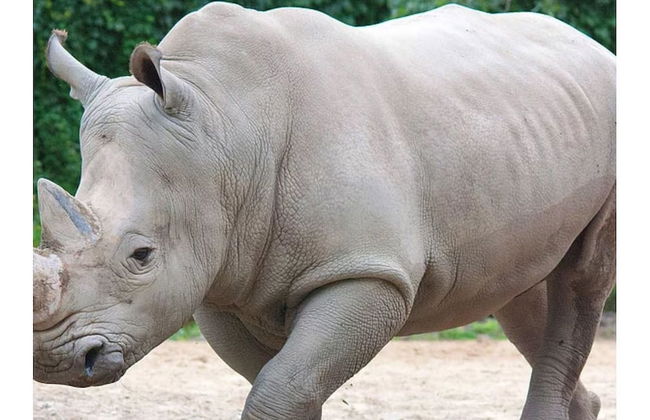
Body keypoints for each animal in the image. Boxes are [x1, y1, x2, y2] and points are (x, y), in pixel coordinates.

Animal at [33, 3, 615, 419]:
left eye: (141, 255)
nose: (54, 361)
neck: (225, 126)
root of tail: (594, 47)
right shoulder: (218, 278)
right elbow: (283, 386)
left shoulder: (366, 271)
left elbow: (280, 388)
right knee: (518, 291)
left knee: (582, 280)